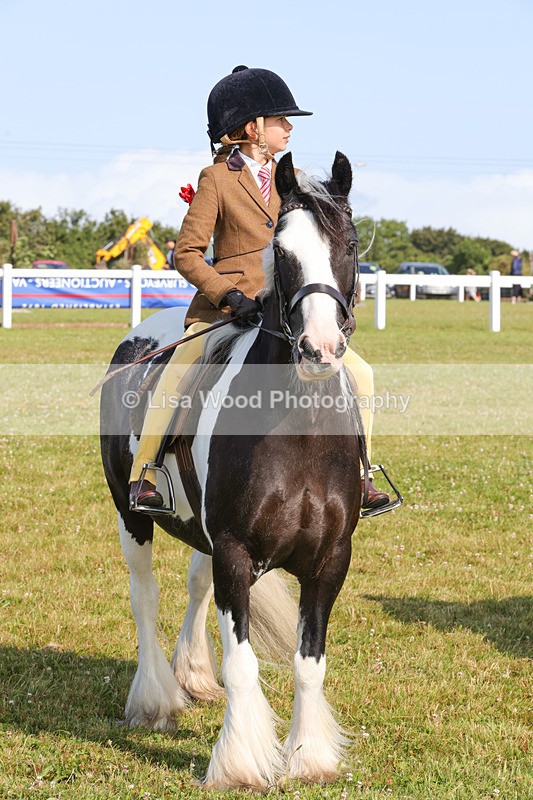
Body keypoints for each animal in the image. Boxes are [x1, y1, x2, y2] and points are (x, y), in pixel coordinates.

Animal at [100, 151, 362, 789]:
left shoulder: (329, 560)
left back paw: (192, 676)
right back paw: (155, 700)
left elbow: (309, 664)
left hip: (203, 534)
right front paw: (239, 762)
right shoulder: (238, 553)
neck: (300, 428)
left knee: (194, 587)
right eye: (282, 249)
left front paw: (309, 759)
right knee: (143, 595)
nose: (319, 350)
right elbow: (243, 664)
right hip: (130, 514)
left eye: (349, 244)